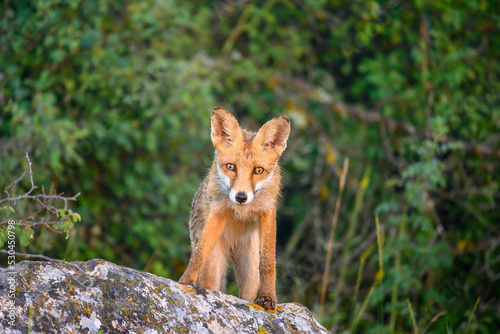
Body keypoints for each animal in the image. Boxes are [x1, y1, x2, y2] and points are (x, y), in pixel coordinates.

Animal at [179, 107, 290, 310]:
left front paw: (268, 297)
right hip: (214, 268)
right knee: (211, 282)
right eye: (231, 167)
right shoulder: (218, 211)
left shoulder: (268, 212)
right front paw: (185, 281)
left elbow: (268, 263)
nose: (241, 197)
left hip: (250, 273)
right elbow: (198, 254)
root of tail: (232, 248)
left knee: (248, 290)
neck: (242, 211)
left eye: (258, 170)